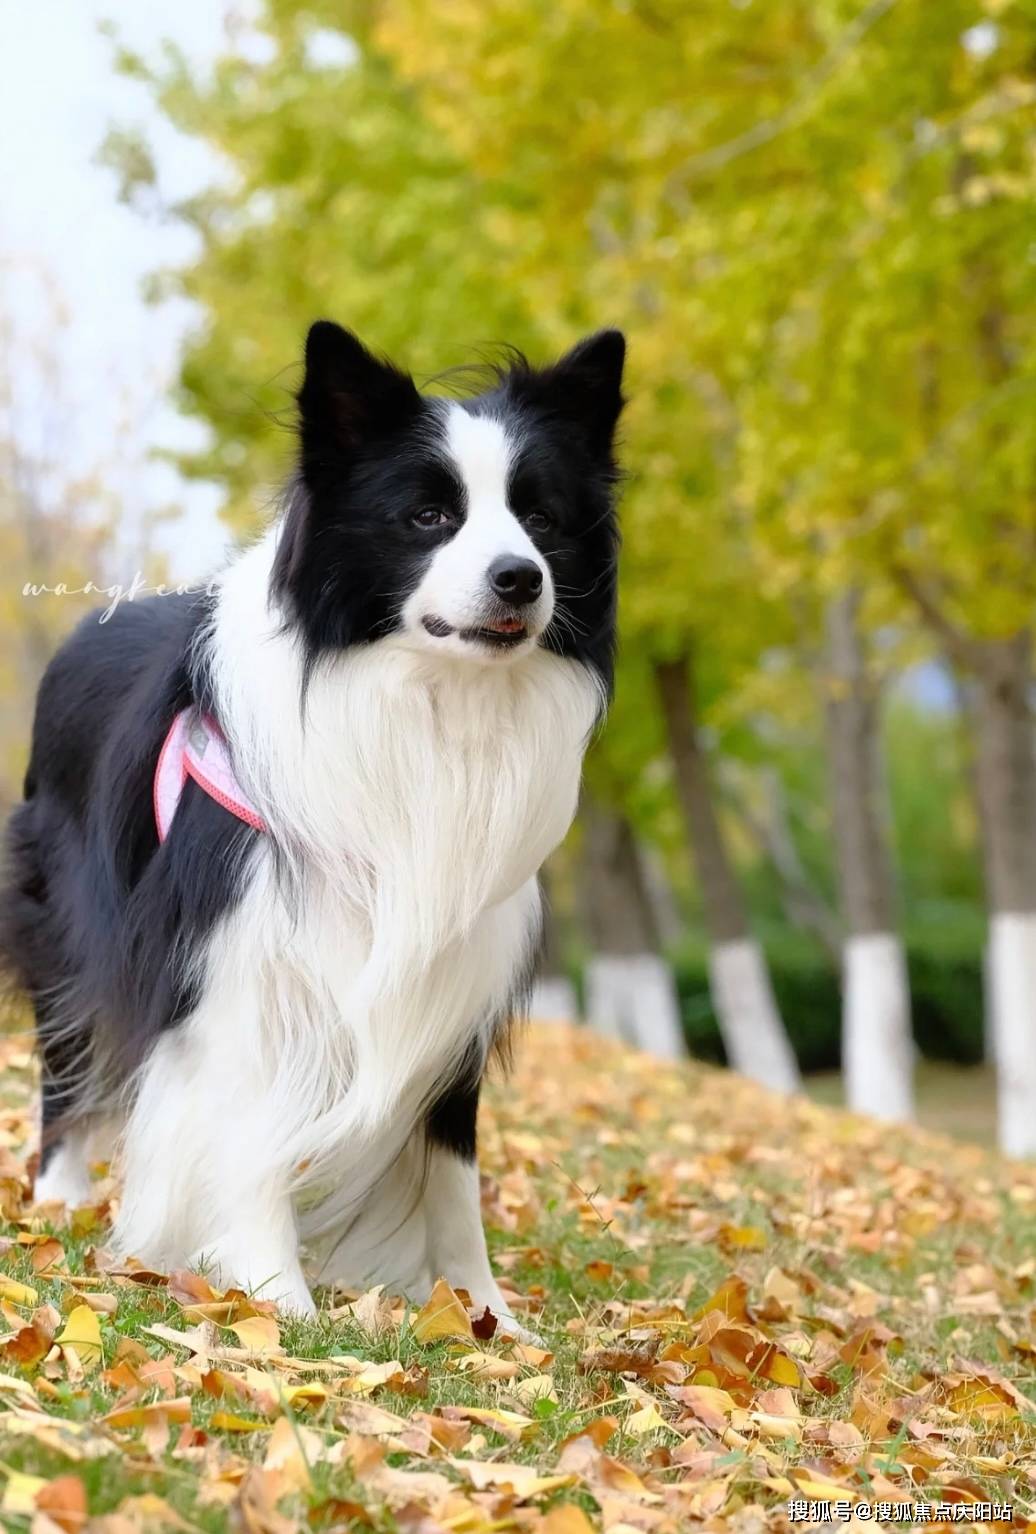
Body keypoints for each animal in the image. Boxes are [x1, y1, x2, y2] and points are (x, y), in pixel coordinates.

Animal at [0, 320, 623, 1319]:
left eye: (542, 518)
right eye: (428, 517)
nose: (521, 580)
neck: (430, 703)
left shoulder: (459, 969)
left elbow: (452, 1163)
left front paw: (480, 1309)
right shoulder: (238, 959)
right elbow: (245, 1131)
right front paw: (273, 1295)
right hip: (61, 914)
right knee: (69, 1049)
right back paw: (59, 1193)